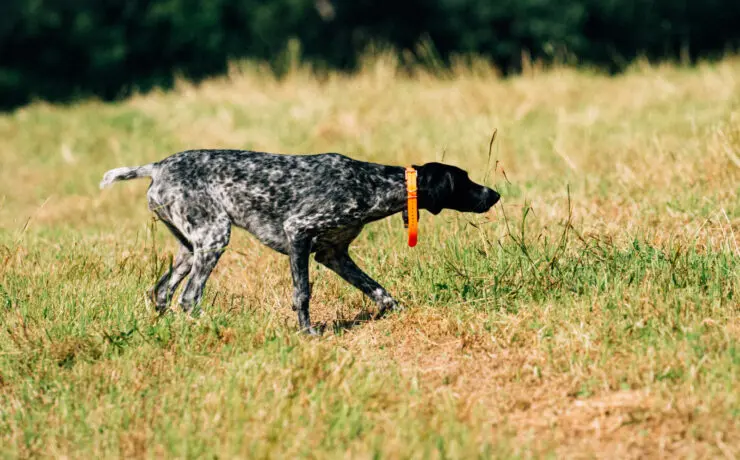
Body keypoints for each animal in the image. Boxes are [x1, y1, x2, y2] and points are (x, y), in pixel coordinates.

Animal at [101, 151, 500, 334]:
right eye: (464, 180)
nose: (495, 194)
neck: (372, 183)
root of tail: (157, 166)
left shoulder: (333, 254)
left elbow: (380, 292)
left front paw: (401, 313)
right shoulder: (299, 233)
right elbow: (303, 293)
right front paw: (307, 333)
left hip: (189, 247)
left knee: (161, 292)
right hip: (214, 237)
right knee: (189, 297)